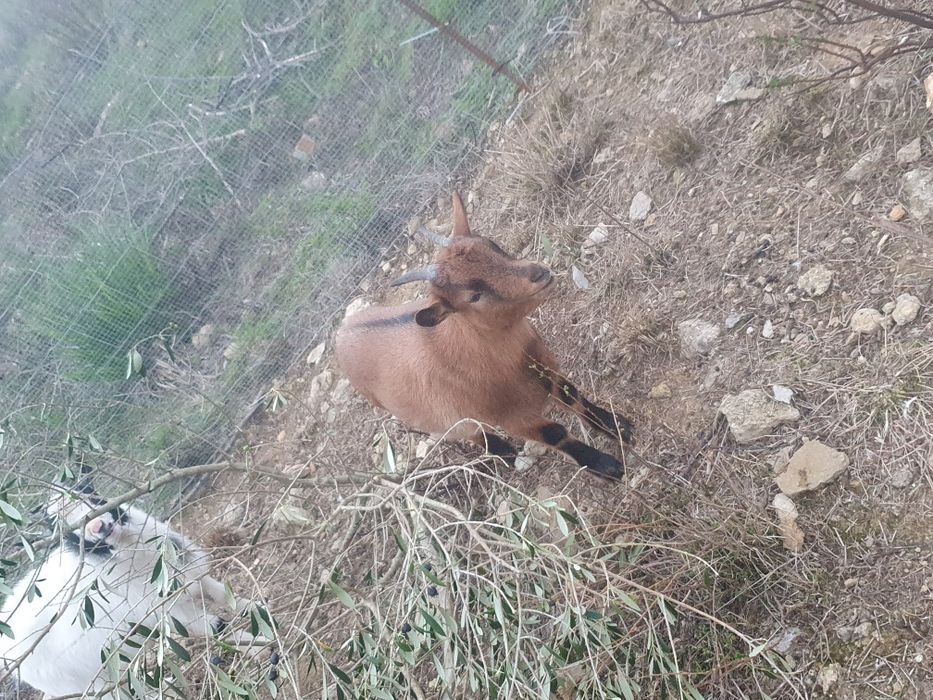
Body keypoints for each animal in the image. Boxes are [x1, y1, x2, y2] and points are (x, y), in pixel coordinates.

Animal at [0, 489, 248, 698]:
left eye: (86, 493)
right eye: (58, 528)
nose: (98, 526)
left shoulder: (196, 579)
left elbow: (233, 601)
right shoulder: (173, 615)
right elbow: (219, 628)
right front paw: (256, 646)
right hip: (91, 681)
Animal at [336, 192, 634, 479]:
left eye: (491, 244)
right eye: (474, 295)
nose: (539, 273)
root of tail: (342, 331)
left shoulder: (549, 371)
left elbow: (571, 395)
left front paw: (618, 426)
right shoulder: (513, 418)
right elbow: (555, 434)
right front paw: (607, 468)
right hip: (434, 418)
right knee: (466, 432)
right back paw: (504, 452)